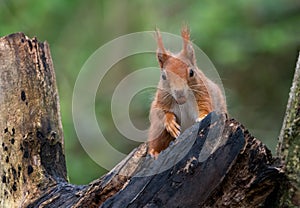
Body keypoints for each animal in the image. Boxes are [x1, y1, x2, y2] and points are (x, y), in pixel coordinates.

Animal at [148, 27, 227, 158]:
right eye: (163, 76)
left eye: (191, 72)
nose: (179, 92)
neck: (182, 102)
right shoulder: (162, 98)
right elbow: (160, 111)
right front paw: (169, 121)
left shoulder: (203, 93)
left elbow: (205, 106)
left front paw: (203, 115)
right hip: (158, 129)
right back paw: (154, 152)